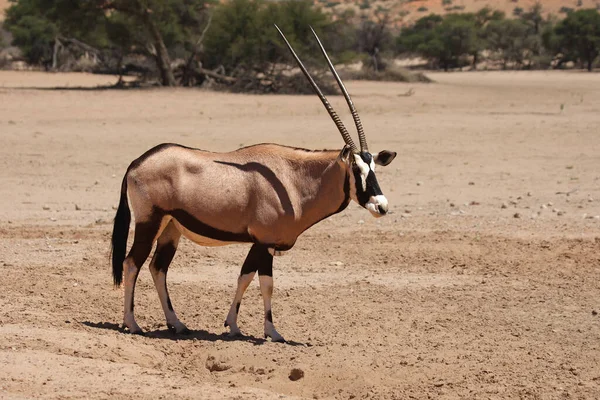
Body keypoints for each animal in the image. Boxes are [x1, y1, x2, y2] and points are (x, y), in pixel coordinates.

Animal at [110, 26, 396, 342]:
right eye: (356, 169)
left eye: (374, 167)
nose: (381, 206)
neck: (294, 180)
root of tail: (136, 162)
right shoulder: (264, 241)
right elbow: (257, 280)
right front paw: (265, 330)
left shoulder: (265, 244)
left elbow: (251, 278)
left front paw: (241, 326)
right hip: (150, 221)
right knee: (132, 263)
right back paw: (132, 323)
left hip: (171, 228)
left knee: (157, 267)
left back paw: (178, 324)